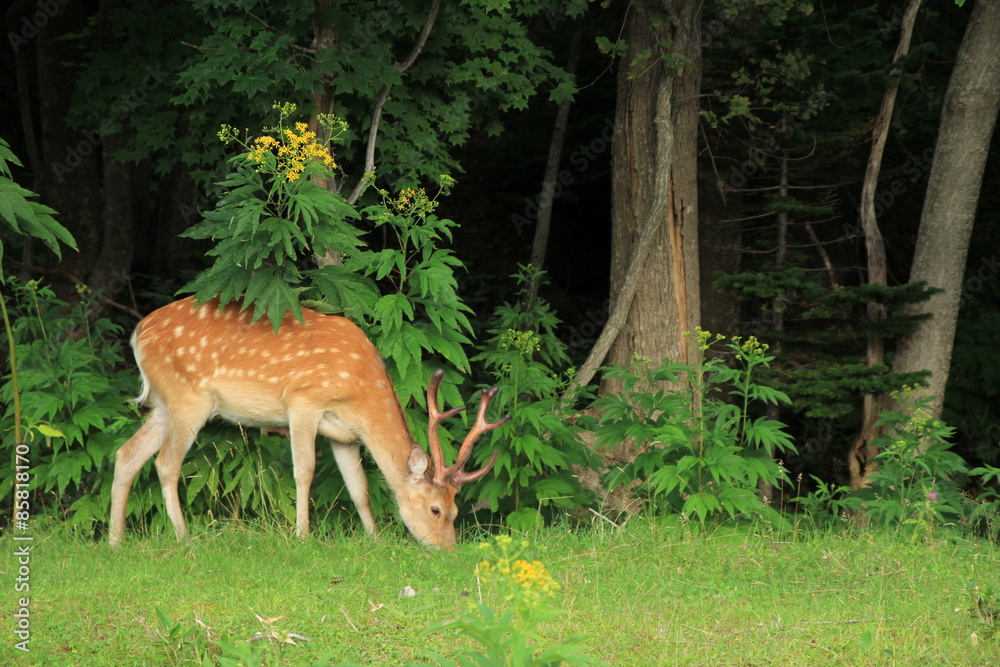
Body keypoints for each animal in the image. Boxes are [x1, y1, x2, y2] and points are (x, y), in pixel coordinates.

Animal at [109, 297, 508, 550]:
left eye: (456, 511)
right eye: (436, 509)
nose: (448, 550)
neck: (360, 388)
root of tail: (138, 332)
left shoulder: (345, 434)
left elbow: (359, 488)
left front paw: (374, 539)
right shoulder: (303, 401)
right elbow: (305, 470)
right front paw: (302, 536)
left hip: (164, 404)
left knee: (127, 454)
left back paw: (116, 542)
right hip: (187, 398)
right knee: (165, 463)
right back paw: (184, 538)